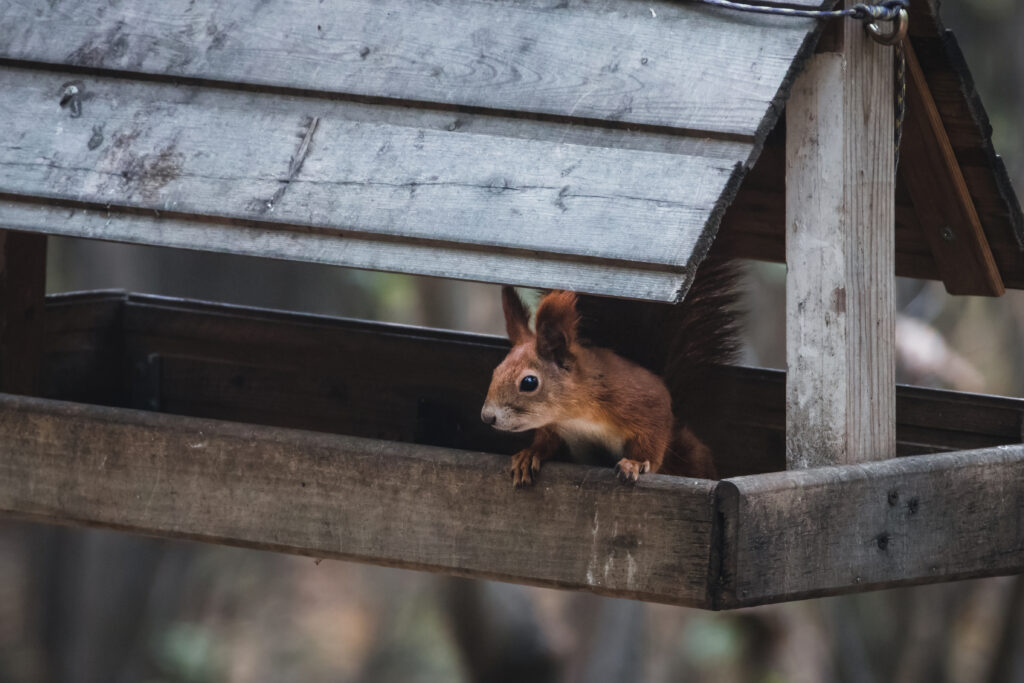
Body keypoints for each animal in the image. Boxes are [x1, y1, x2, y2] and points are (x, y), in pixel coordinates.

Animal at [480, 256, 740, 487]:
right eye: (496, 370)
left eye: (529, 382)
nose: (487, 417)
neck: (576, 416)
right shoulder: (557, 427)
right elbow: (546, 441)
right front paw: (530, 454)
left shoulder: (645, 403)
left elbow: (651, 439)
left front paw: (634, 463)